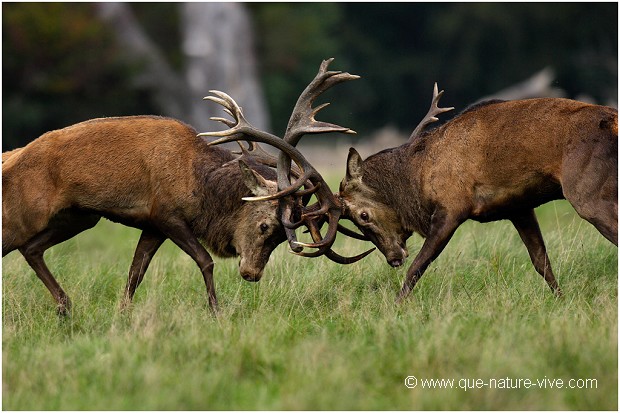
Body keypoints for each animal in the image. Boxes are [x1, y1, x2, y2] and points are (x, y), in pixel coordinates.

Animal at [2, 59, 370, 314]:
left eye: (283, 236)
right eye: (265, 226)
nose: (251, 273)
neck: (201, 187)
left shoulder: (151, 225)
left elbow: (135, 273)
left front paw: (122, 314)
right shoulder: (166, 214)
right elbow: (205, 261)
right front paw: (217, 312)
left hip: (79, 217)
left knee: (31, 249)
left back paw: (65, 306)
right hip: (23, 213)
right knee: (21, 245)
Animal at [211, 81, 616, 302]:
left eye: (362, 215)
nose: (392, 256)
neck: (418, 179)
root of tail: (611, 121)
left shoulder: (453, 206)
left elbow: (419, 267)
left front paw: (394, 307)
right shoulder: (519, 207)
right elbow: (542, 262)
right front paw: (561, 302)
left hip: (587, 191)